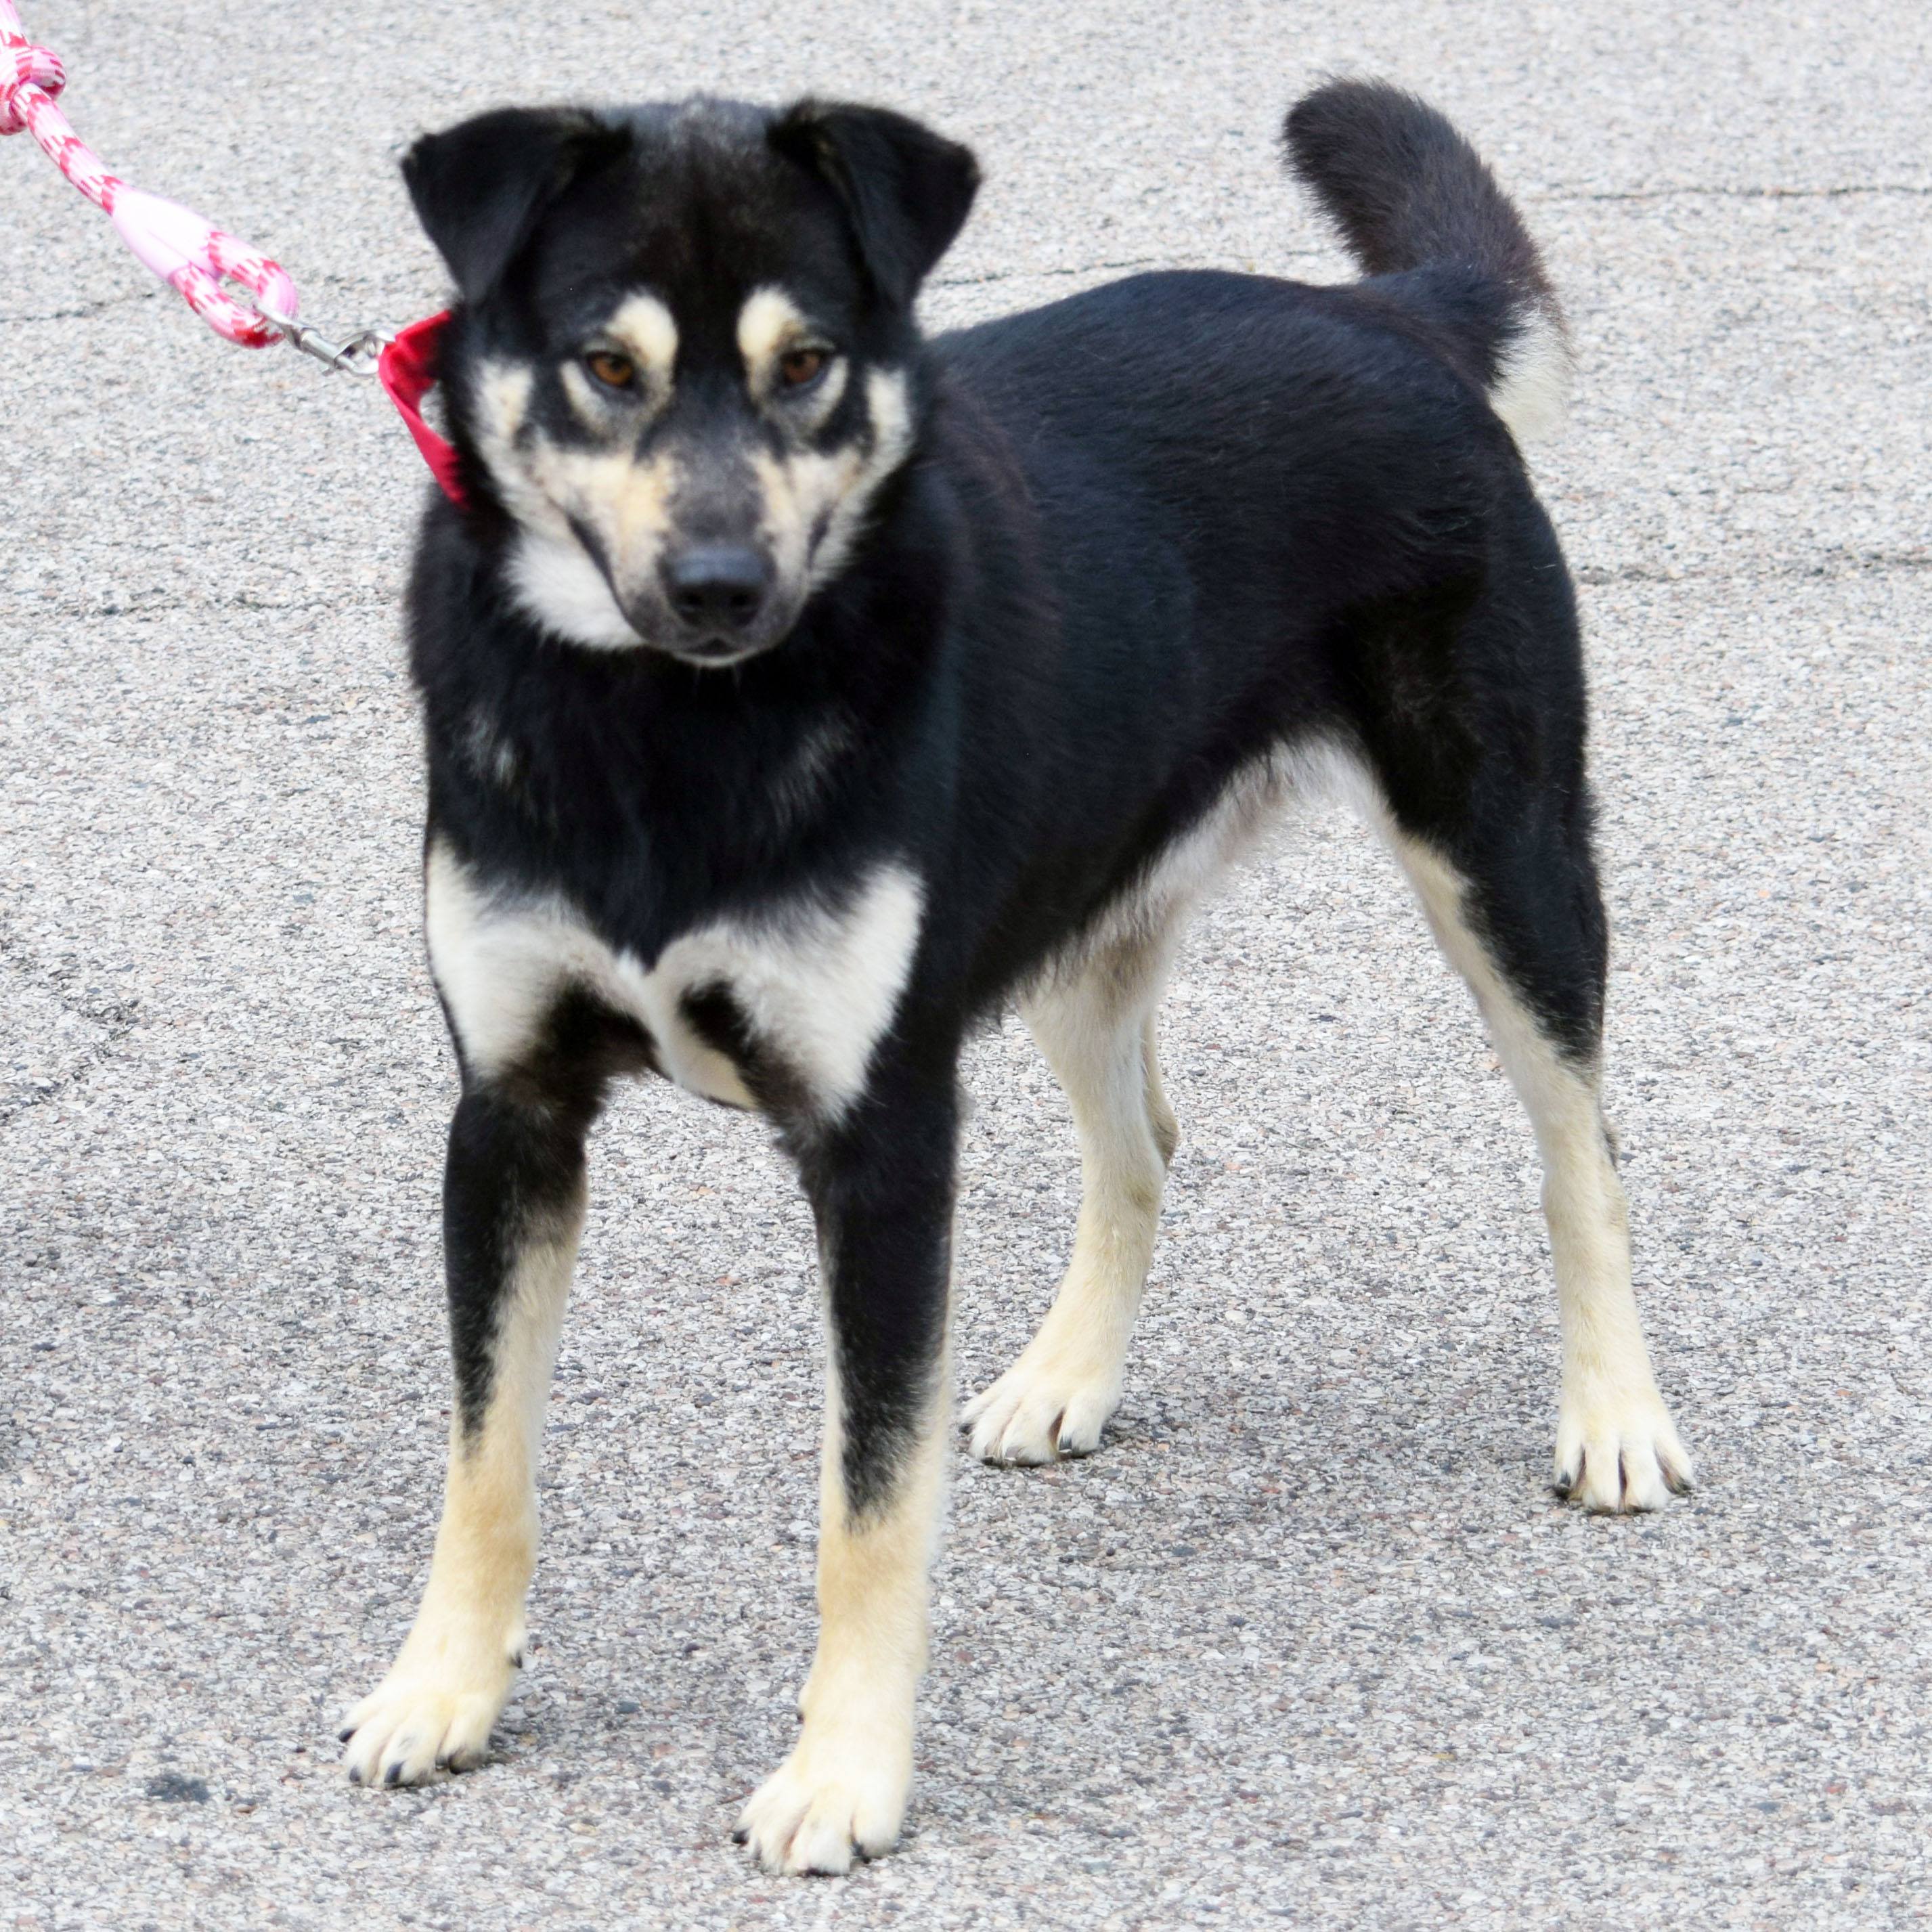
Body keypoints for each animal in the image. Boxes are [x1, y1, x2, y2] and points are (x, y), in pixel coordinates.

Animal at [344, 79, 1692, 1870]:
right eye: (604, 367)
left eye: (805, 361)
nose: (721, 588)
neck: (663, 734)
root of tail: (1387, 316)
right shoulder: (508, 1112)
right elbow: (483, 1455)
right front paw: (443, 1686)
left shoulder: (882, 1139)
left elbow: (868, 1498)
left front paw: (842, 1770)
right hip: (1077, 913)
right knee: (1143, 1145)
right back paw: (1066, 1377)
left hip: (1500, 852)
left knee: (1576, 1142)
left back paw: (1612, 1412)